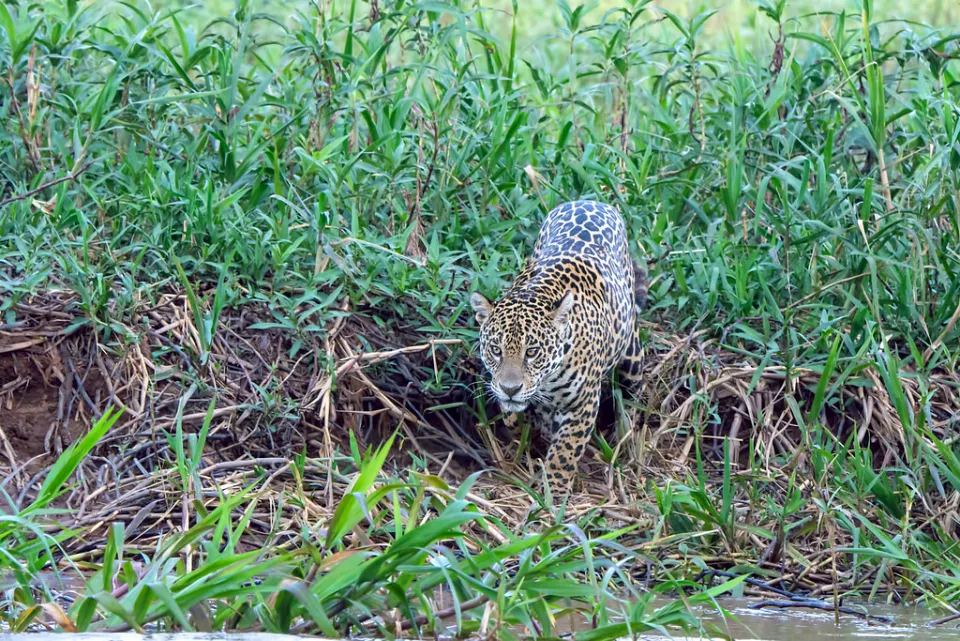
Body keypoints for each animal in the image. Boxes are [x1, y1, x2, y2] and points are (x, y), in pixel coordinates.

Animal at [470, 200, 648, 503]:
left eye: (532, 351)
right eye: (495, 349)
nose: (510, 388)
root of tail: (591, 200)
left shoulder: (582, 404)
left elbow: (565, 452)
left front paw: (553, 493)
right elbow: (514, 418)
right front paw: (525, 439)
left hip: (631, 356)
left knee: (631, 397)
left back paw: (623, 439)